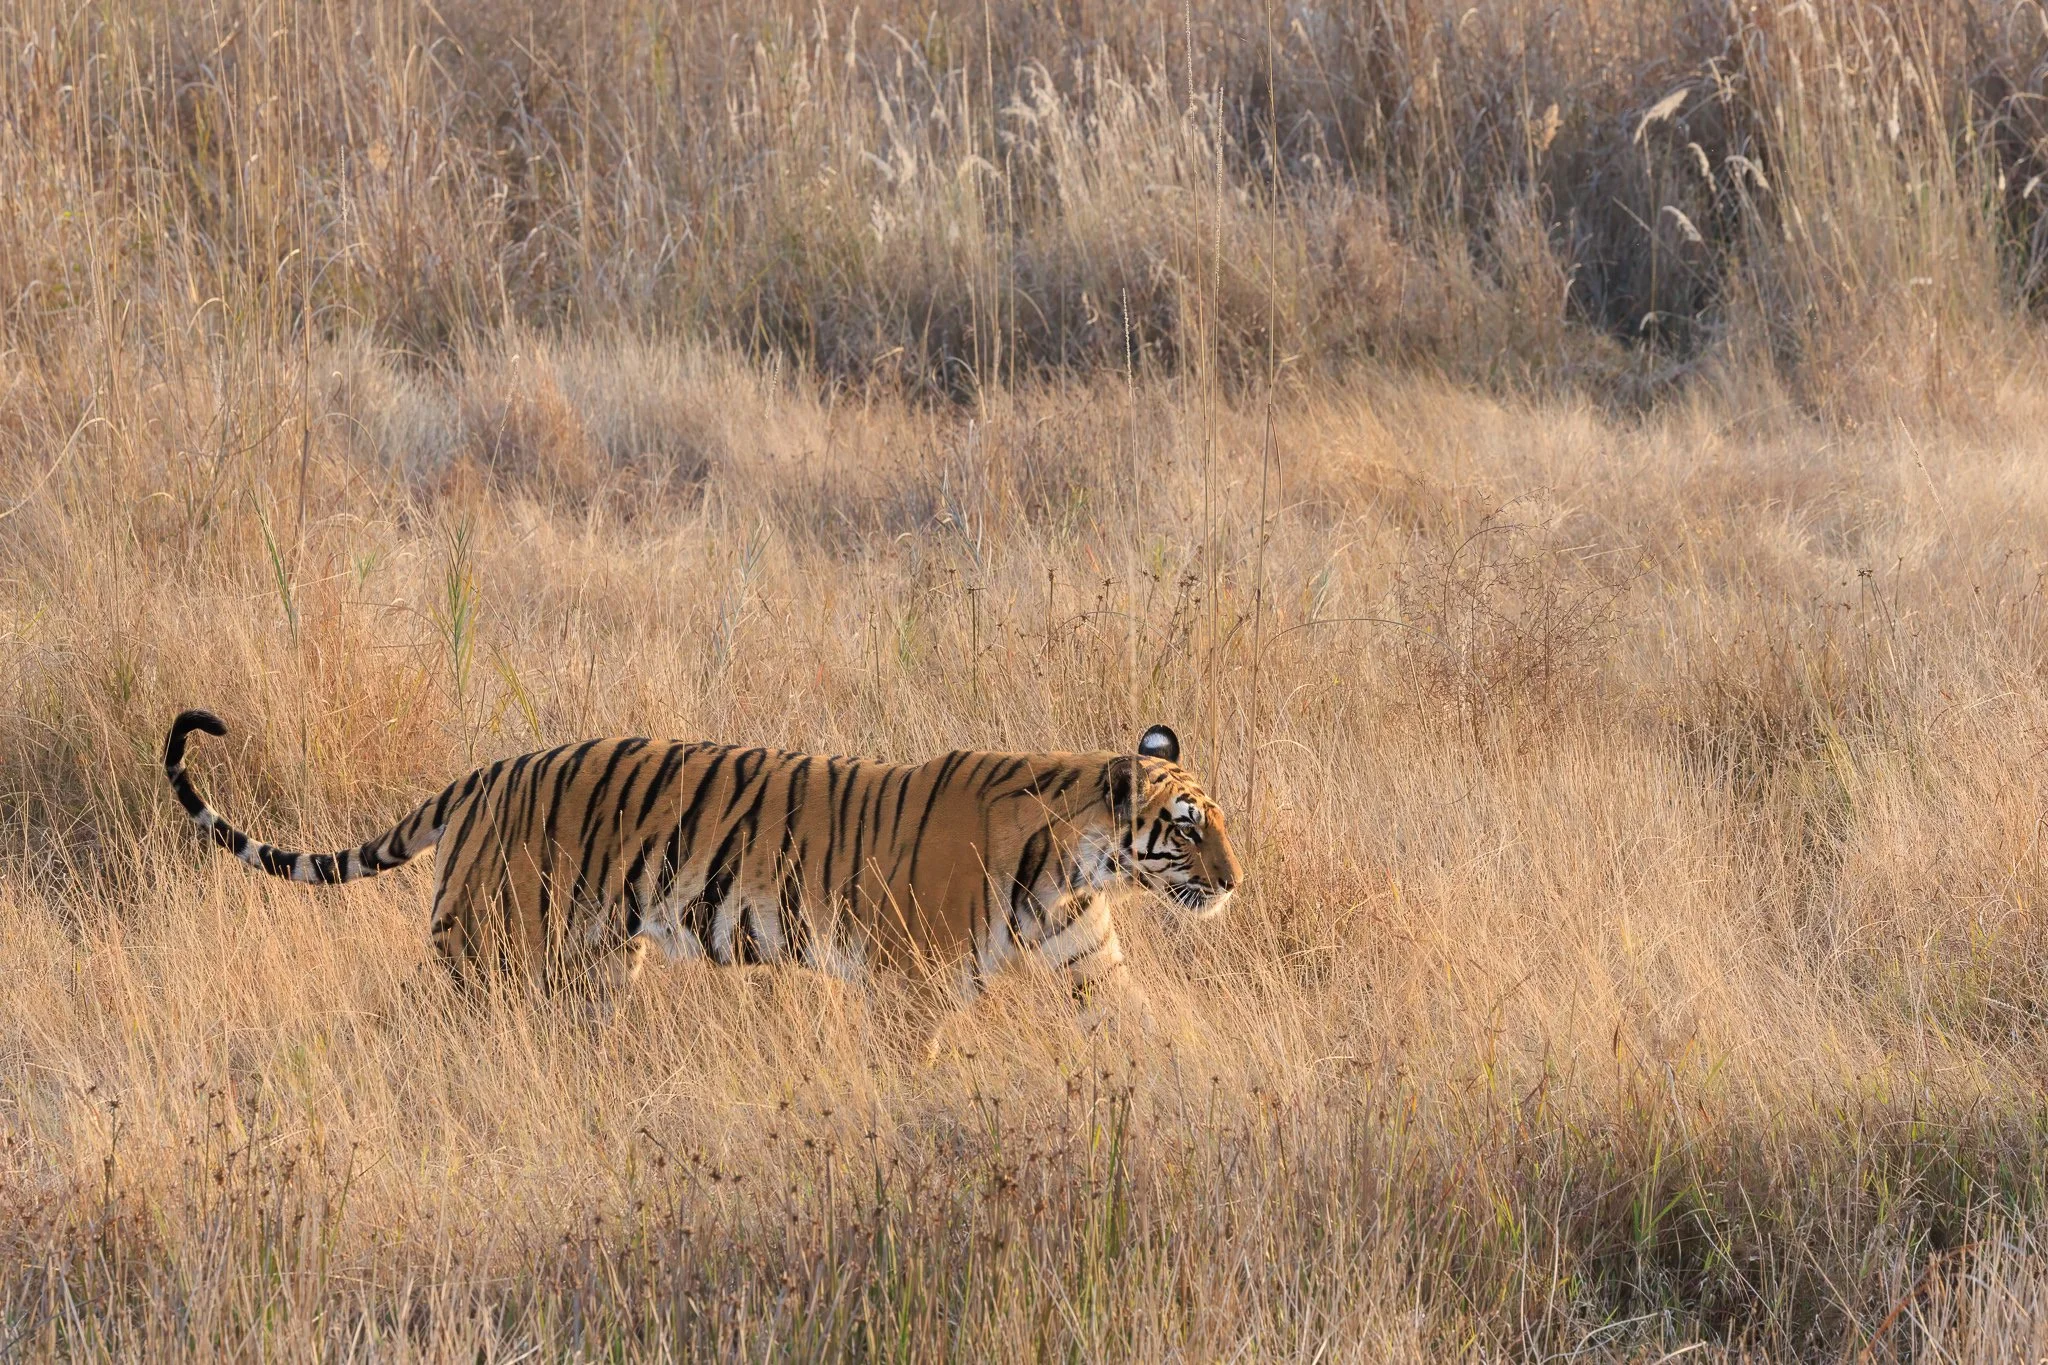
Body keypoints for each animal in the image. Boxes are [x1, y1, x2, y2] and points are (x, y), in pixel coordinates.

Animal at [162, 711, 1242, 1016]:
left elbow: (1142, 1033)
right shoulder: (910, 982)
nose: (1235, 882)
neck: (1078, 863)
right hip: (489, 948)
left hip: (594, 964)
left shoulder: (1090, 959)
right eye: (1188, 826)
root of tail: (486, 773)